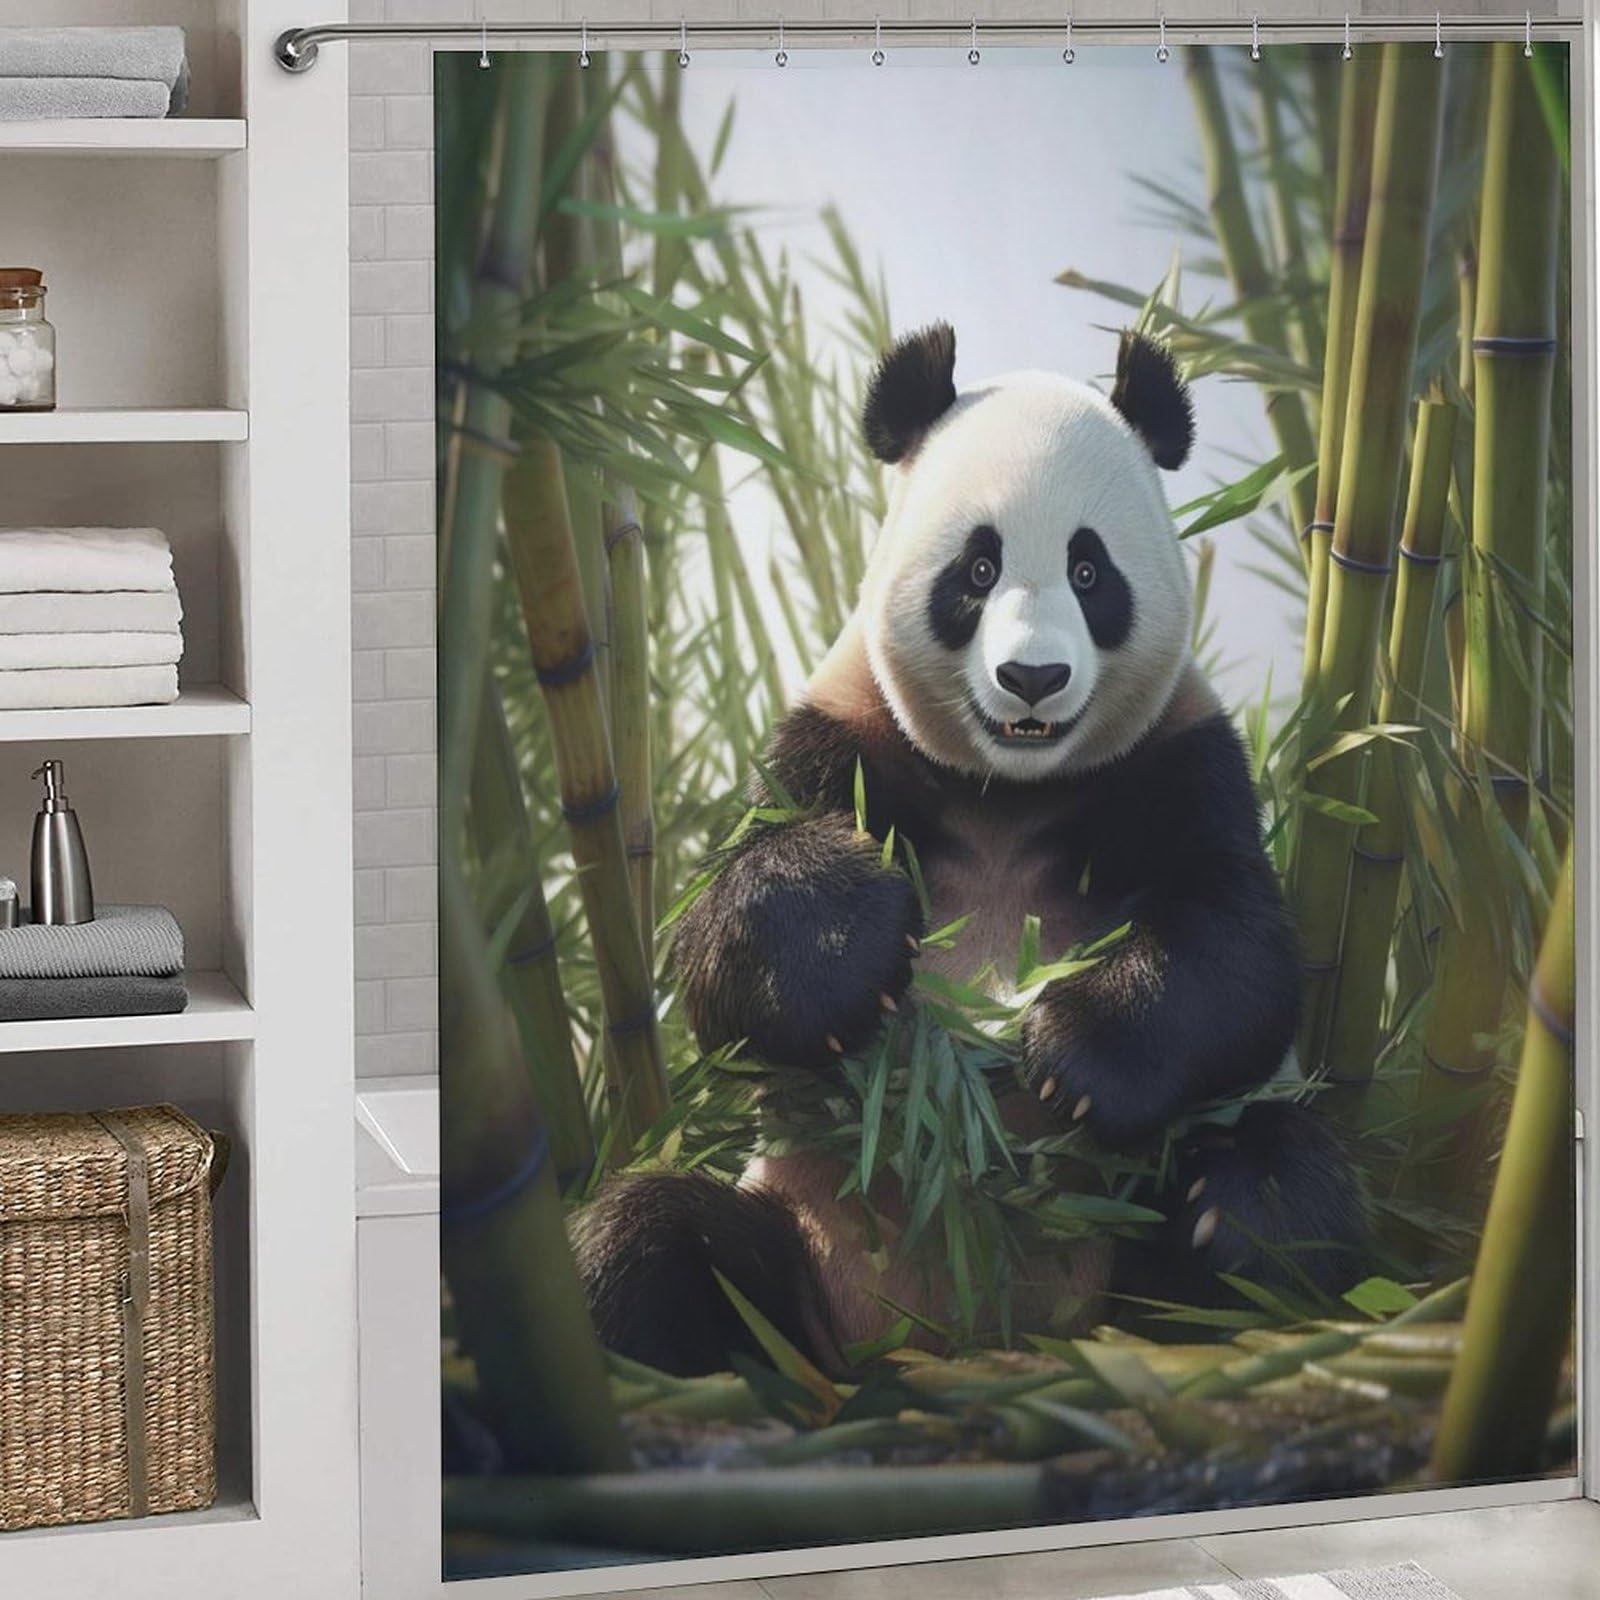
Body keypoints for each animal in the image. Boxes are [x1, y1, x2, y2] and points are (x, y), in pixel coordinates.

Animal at [575, 323, 1365, 1379]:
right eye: (977, 571)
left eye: (1089, 573)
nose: (1033, 677)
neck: (1008, 792)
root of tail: (954, 1340)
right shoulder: (842, 733)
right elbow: (724, 942)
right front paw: (845, 963)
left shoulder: (1180, 754)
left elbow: (1240, 943)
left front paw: (1070, 1055)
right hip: (798, 1233)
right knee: (649, 1249)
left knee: (1296, 1193)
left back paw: (1230, 1227)